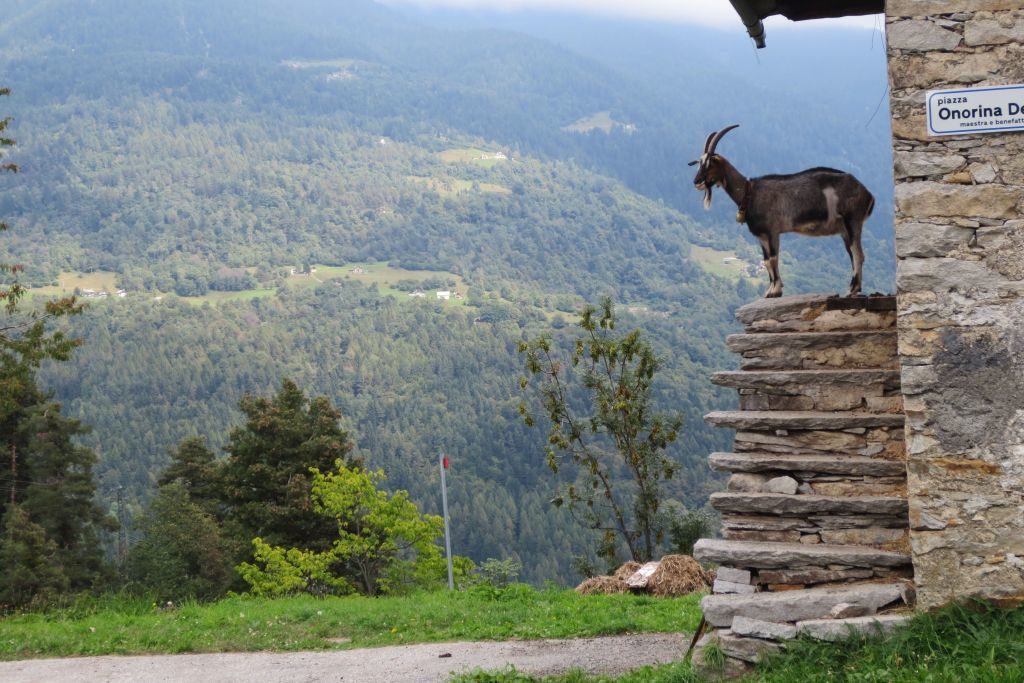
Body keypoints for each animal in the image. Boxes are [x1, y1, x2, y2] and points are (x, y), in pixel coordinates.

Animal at [688, 126, 872, 296]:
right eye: (699, 163)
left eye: (710, 163)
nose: (696, 182)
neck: (749, 192)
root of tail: (867, 194)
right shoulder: (761, 236)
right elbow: (766, 261)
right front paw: (770, 291)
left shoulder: (772, 231)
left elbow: (773, 258)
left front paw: (775, 290)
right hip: (843, 230)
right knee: (852, 254)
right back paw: (853, 287)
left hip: (852, 221)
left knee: (858, 254)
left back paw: (852, 290)